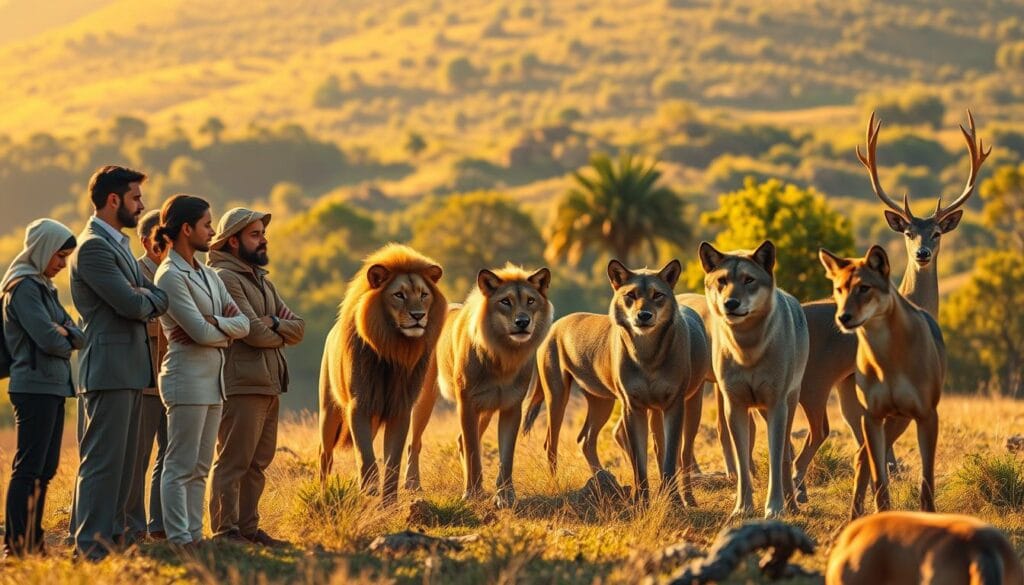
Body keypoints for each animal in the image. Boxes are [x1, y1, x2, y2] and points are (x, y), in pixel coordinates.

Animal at [318, 244, 446, 505]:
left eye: (423, 294)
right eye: (399, 295)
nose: (418, 315)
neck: (394, 347)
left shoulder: (400, 408)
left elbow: (392, 461)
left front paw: (388, 503)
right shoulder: (359, 405)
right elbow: (365, 456)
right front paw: (369, 491)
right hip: (329, 414)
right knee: (325, 455)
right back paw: (323, 494)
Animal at [404, 264, 553, 508]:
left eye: (530, 300)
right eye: (505, 301)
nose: (522, 322)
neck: (504, 355)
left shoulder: (511, 406)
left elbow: (506, 456)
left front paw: (505, 496)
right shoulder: (467, 404)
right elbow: (474, 451)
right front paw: (471, 494)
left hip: (487, 408)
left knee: (459, 440)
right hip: (425, 397)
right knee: (414, 442)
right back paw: (412, 485)